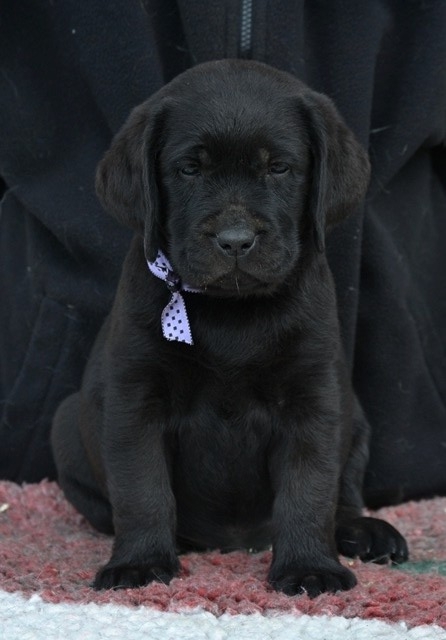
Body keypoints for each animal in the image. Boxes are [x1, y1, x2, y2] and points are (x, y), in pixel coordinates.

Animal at [51, 60, 408, 596]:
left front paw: (309, 567)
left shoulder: (315, 398)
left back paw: (366, 532)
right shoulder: (135, 397)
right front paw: (140, 563)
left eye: (278, 168)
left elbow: (310, 488)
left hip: (355, 412)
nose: (235, 240)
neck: (232, 312)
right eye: (190, 169)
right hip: (66, 425)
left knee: (343, 495)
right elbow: (141, 488)